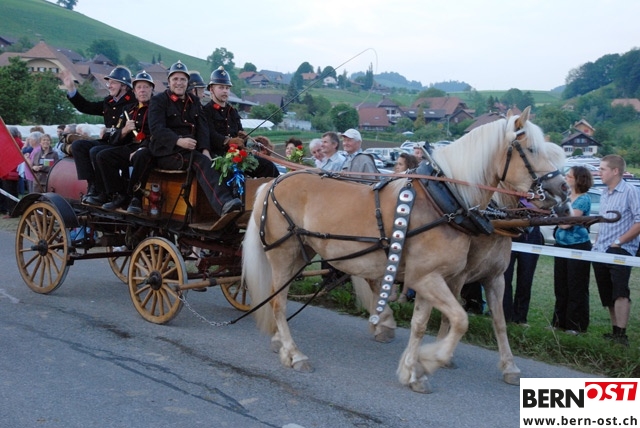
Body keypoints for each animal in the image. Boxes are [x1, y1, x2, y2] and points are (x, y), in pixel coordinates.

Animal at [242, 107, 570, 393]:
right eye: (532, 149)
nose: (564, 191)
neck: (444, 200)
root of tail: (274, 181)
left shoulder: (428, 277)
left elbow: (421, 325)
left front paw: (413, 371)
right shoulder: (430, 278)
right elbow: (460, 320)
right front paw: (431, 359)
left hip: (303, 253)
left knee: (279, 296)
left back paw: (282, 343)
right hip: (283, 255)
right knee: (278, 303)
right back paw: (294, 354)